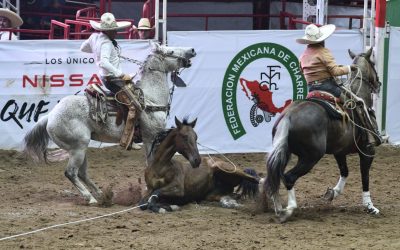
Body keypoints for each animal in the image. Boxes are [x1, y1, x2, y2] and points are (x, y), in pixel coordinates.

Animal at [22, 42, 196, 203]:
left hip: (79, 148)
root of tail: (50, 115)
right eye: (170, 51)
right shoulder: (150, 138)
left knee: (82, 173)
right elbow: (151, 163)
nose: (192, 50)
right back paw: (90, 198)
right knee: (71, 172)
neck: (150, 99)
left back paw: (100, 194)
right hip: (78, 147)